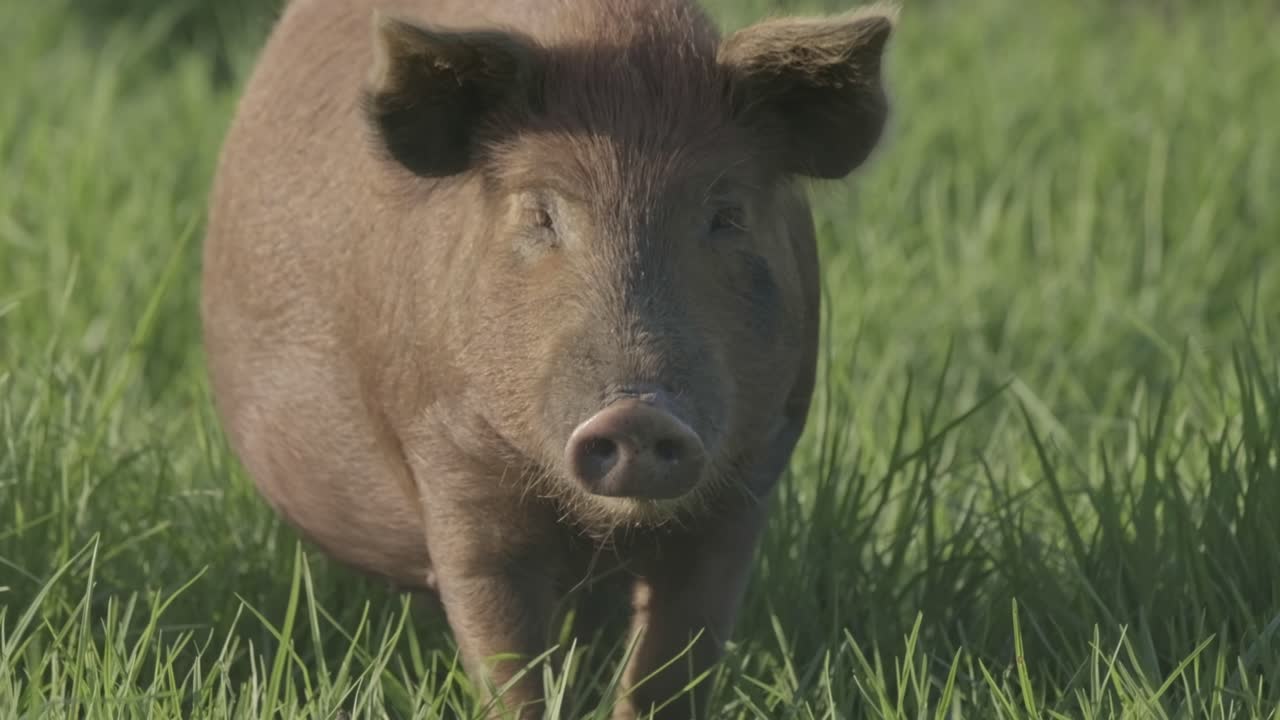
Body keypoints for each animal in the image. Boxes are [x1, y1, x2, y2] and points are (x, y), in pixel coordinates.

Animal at [200, 0, 896, 717]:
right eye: (540, 214)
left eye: (726, 215)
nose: (638, 413)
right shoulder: (451, 462)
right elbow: (506, 657)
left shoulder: (749, 475)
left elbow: (675, 660)